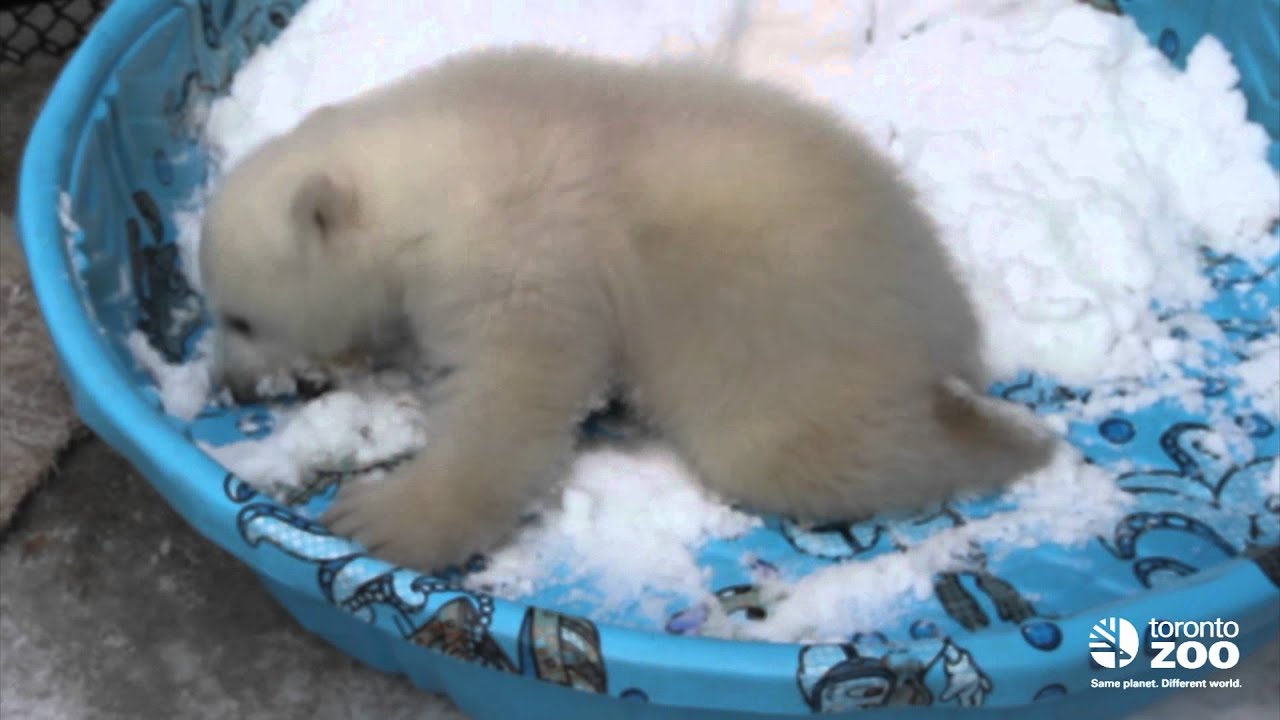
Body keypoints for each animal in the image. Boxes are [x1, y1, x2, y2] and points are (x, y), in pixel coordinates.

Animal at [198, 46, 1056, 572]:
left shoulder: (521, 255)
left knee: (796, 451)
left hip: (795, 347)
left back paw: (1006, 441)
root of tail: (946, 317)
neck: (448, 155)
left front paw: (379, 517)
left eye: (240, 317)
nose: (229, 388)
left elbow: (512, 400)